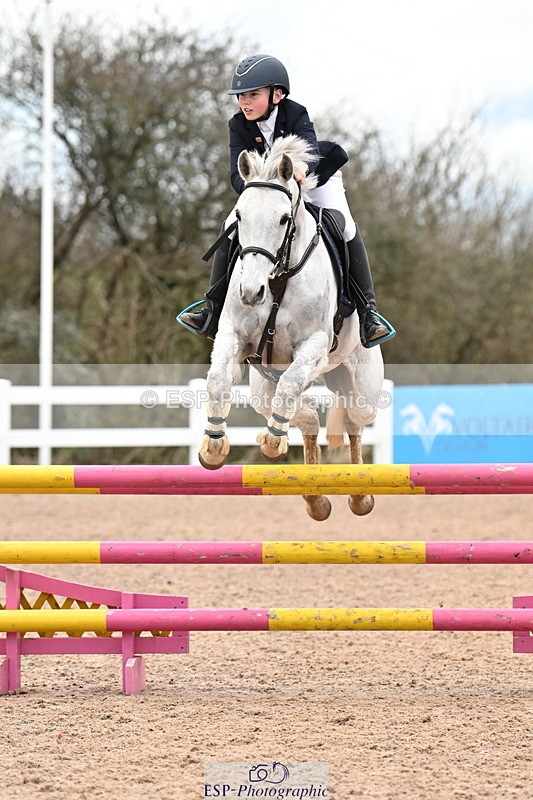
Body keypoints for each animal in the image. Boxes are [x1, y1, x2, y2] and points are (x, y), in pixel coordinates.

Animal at [198, 135, 385, 521]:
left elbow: (290, 385)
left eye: (284, 219)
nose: (251, 293)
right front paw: (213, 447)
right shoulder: (233, 334)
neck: (278, 275)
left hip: (359, 382)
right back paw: (315, 499)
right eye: (239, 217)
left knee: (353, 420)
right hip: (262, 386)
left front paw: (271, 444)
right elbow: (218, 379)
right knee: (307, 416)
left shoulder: (313, 344)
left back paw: (360, 495)